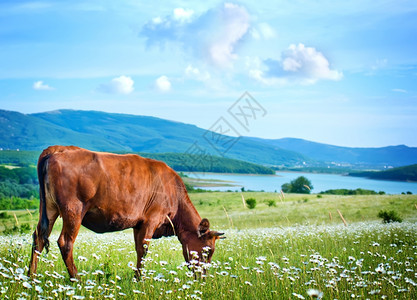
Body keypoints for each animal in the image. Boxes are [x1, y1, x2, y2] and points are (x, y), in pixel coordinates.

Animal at [27, 145, 223, 276]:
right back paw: (76, 279)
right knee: (65, 243)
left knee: (38, 238)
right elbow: (144, 250)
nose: (203, 277)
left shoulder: (139, 224)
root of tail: (56, 149)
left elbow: (138, 249)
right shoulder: (152, 219)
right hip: (73, 210)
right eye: (208, 250)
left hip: (49, 209)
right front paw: (140, 280)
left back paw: (31, 277)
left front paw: (136, 277)